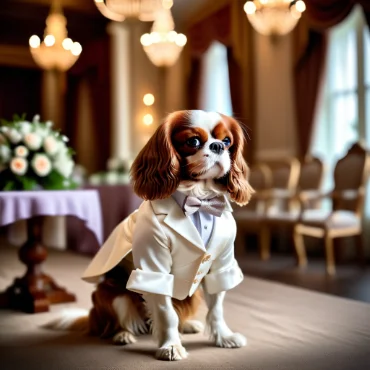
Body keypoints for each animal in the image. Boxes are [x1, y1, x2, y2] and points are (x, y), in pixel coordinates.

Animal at [50, 110, 254, 362]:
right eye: (193, 141)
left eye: (227, 141)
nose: (217, 146)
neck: (200, 199)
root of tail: (92, 319)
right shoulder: (154, 267)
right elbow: (167, 313)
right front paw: (171, 346)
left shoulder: (220, 263)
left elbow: (216, 308)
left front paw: (223, 337)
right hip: (113, 294)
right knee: (119, 320)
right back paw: (123, 334)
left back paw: (187, 326)